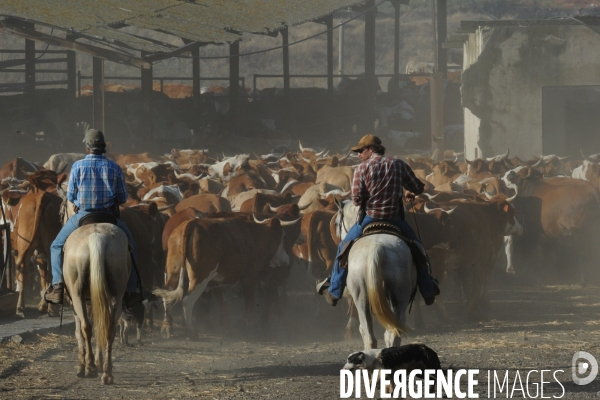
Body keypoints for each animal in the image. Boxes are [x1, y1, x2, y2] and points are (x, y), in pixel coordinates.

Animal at [336, 202, 414, 348]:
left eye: (337, 223)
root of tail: (377, 247)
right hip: (397, 297)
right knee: (391, 334)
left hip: (363, 298)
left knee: (370, 335)